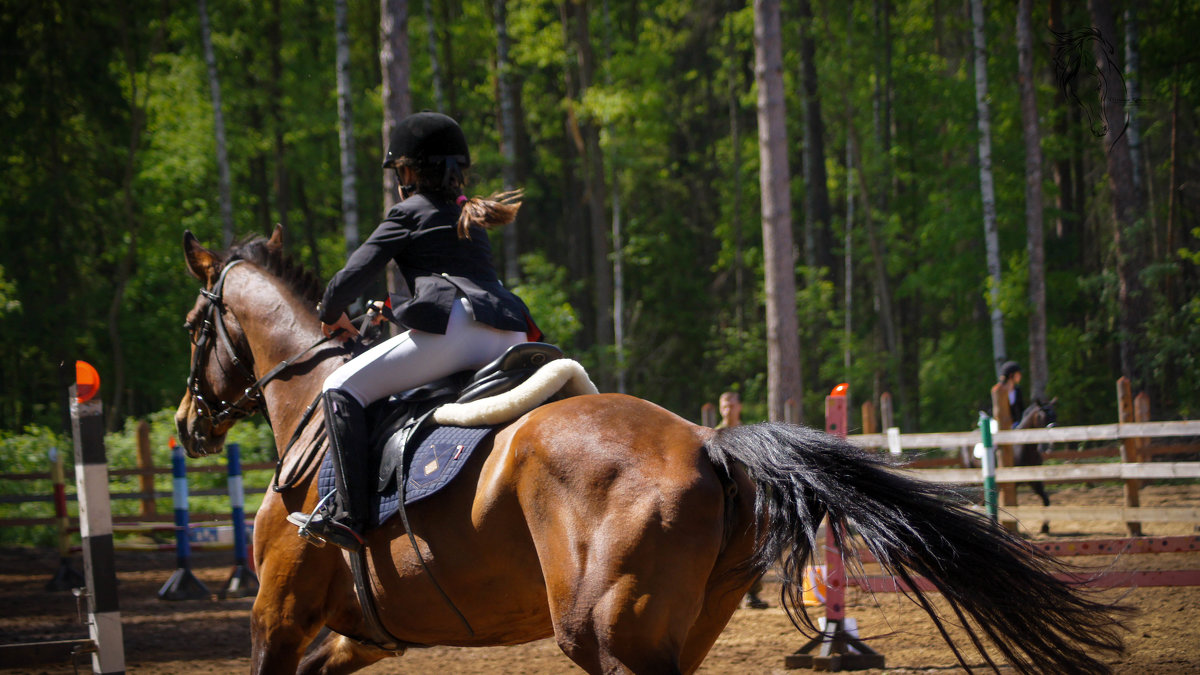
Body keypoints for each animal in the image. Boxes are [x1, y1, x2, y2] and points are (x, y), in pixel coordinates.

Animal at [175, 227, 1123, 672]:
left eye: (194, 325)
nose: (188, 422)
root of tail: (710, 445)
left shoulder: (278, 614)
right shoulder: (363, 635)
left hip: (608, 635)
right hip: (680, 627)